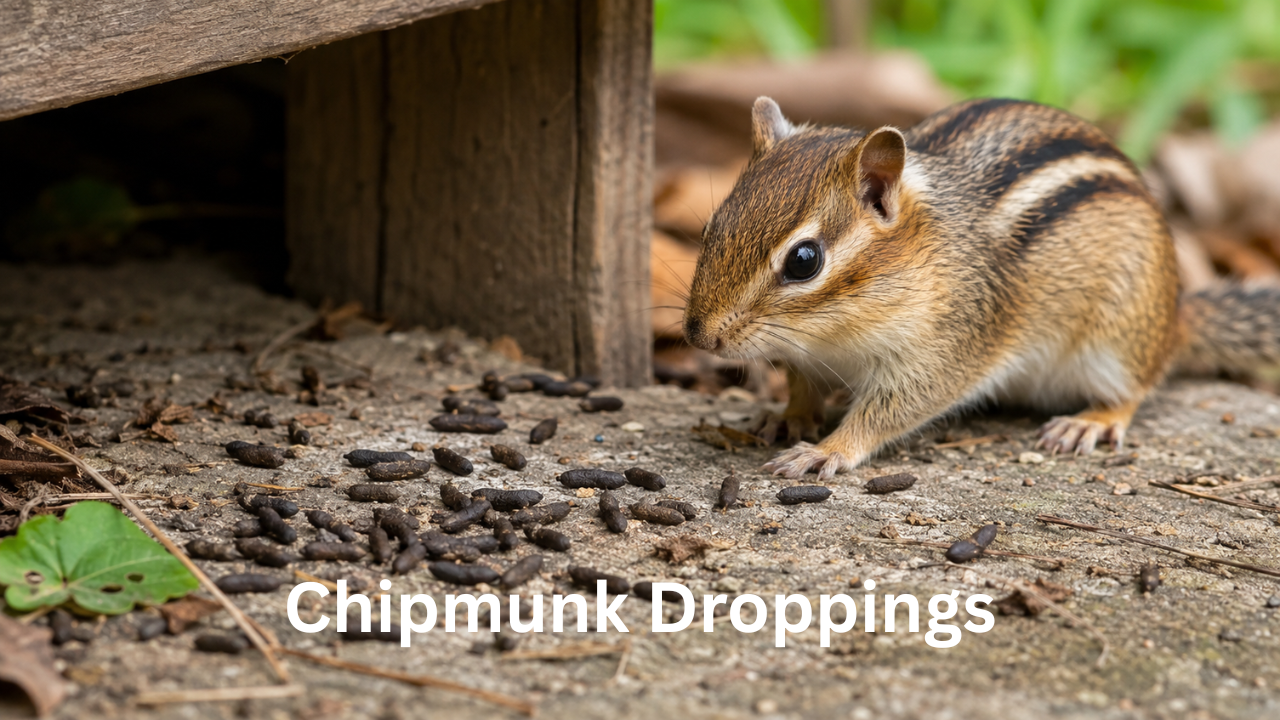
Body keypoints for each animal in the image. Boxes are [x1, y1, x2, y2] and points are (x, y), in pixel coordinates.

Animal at [683, 96, 1280, 481]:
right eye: (711, 227)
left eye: (804, 261)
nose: (699, 337)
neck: (835, 334)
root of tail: (1174, 316)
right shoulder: (809, 357)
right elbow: (803, 387)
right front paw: (787, 416)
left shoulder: (946, 349)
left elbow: (890, 412)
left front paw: (826, 450)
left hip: (1118, 336)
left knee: (1134, 390)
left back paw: (1089, 421)